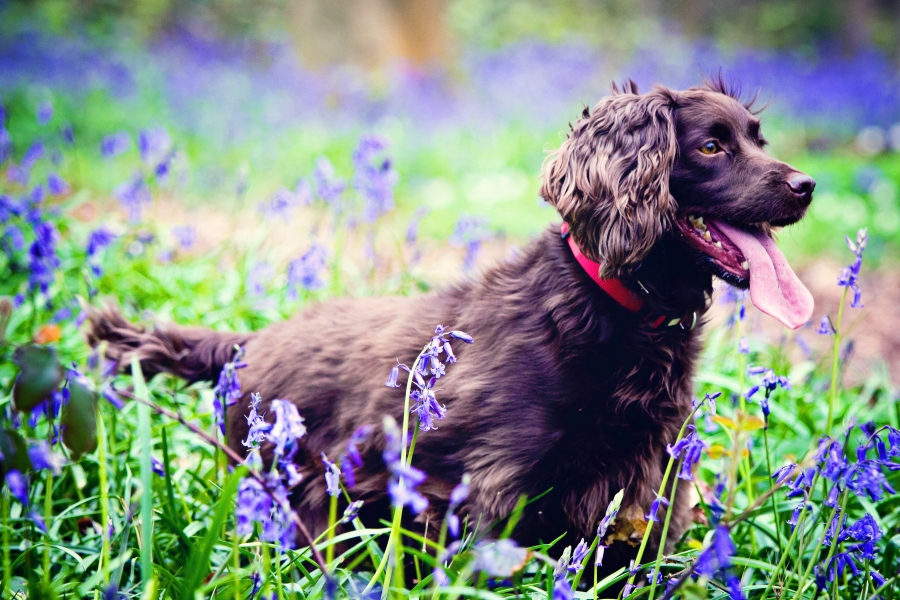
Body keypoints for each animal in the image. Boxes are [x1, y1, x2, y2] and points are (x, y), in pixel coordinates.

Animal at [89, 76, 816, 576]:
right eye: (712, 145)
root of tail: (247, 342)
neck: (609, 311)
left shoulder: (642, 487)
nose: (807, 185)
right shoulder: (490, 488)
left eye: (758, 139)